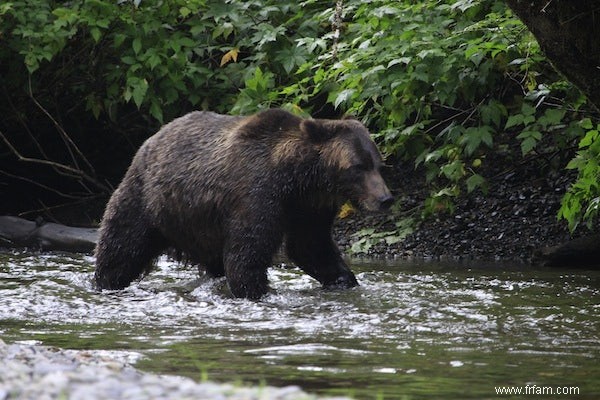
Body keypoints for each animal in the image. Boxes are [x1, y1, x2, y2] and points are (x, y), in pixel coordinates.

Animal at [94, 108, 394, 298]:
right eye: (357, 167)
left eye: (379, 165)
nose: (385, 199)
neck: (299, 180)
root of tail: (152, 138)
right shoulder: (257, 195)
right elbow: (247, 253)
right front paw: (257, 291)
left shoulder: (310, 208)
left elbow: (311, 246)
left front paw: (344, 279)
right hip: (147, 198)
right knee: (122, 244)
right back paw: (106, 281)